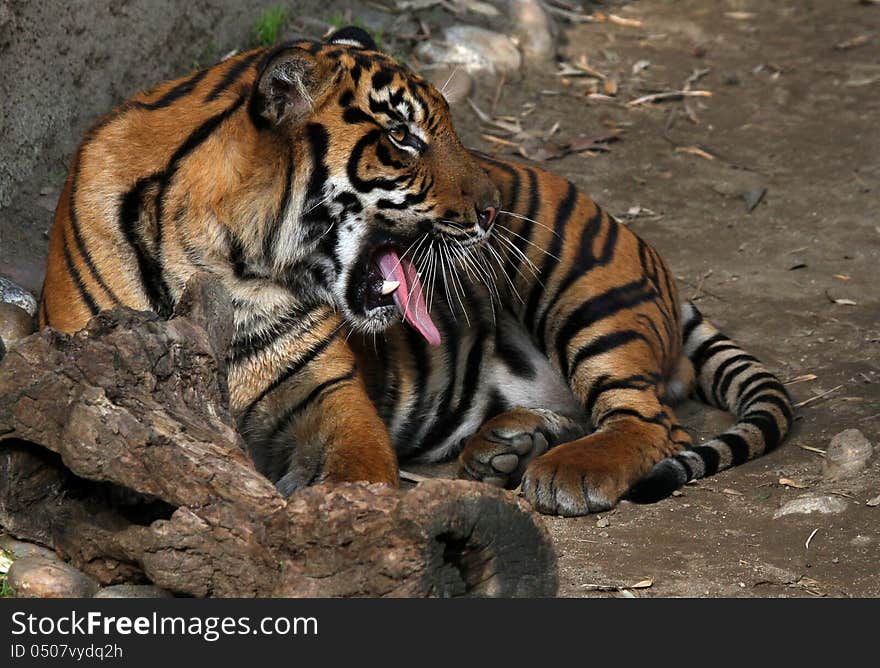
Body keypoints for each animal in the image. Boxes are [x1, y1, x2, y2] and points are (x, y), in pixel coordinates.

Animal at [41, 26, 796, 516]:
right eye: (402, 137)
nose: (490, 209)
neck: (230, 263)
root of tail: (647, 254)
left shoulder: (329, 393)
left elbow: (356, 466)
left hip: (581, 290)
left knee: (655, 420)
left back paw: (564, 473)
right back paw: (507, 447)